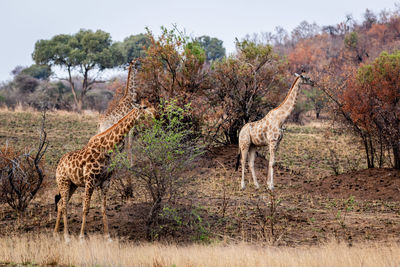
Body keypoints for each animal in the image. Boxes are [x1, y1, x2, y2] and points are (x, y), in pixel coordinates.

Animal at [53, 102, 153, 243]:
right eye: (145, 108)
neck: (107, 149)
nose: (155, 115)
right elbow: (86, 208)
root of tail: (59, 164)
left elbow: (103, 208)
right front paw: (82, 238)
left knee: (61, 204)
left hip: (73, 185)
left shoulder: (105, 181)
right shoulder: (90, 181)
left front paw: (108, 237)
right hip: (64, 182)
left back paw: (56, 235)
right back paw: (66, 237)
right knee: (64, 205)